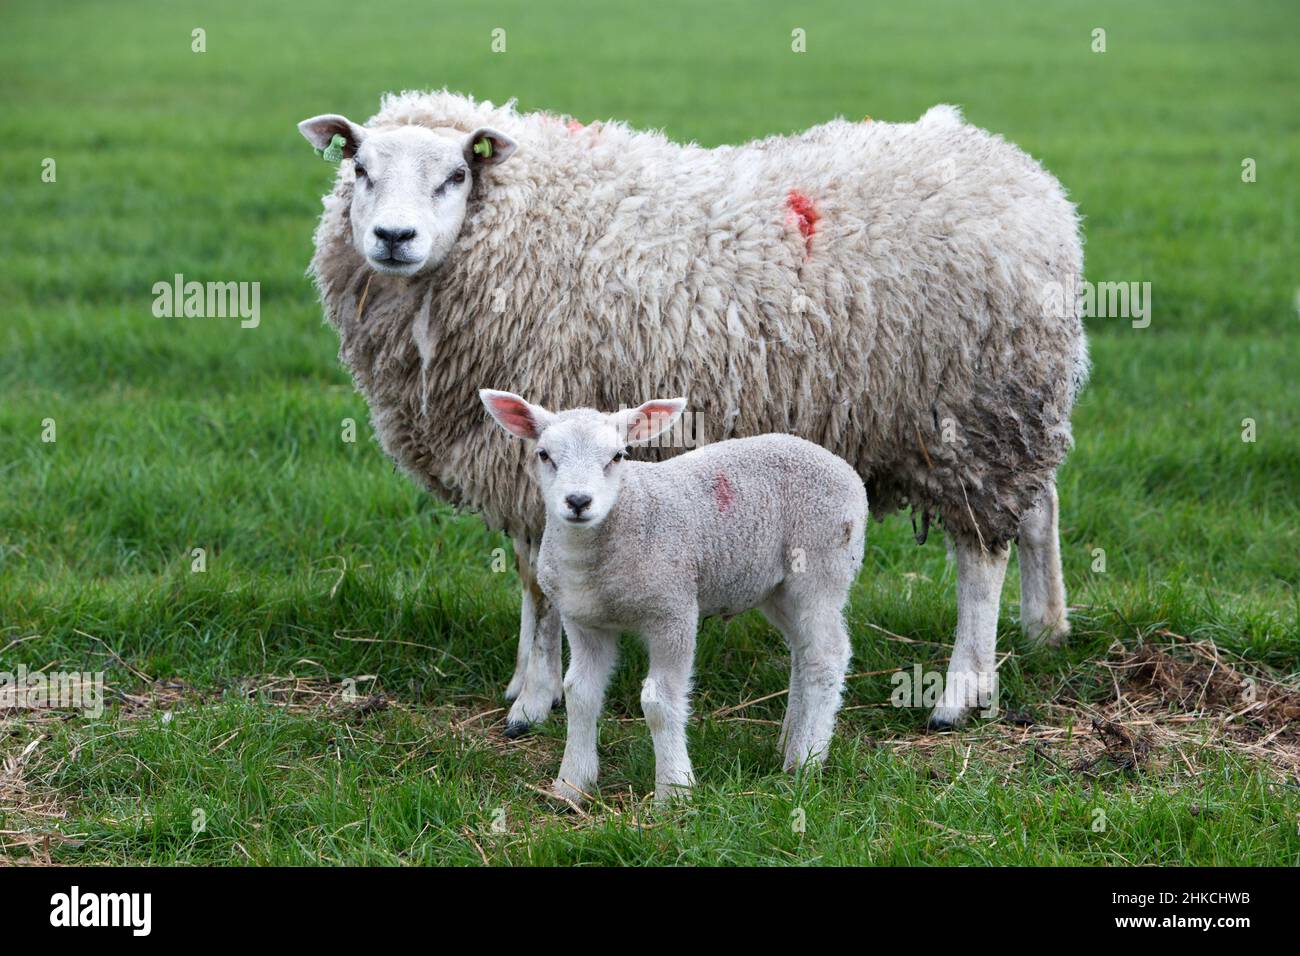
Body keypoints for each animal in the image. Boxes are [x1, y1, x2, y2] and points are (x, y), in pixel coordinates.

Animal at [301, 91, 1086, 733]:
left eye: (457, 174)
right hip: (1020, 405)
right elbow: (533, 577)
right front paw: (528, 684)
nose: (393, 238)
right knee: (1040, 507)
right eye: (360, 168)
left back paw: (963, 690)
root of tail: (1026, 177)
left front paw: (534, 700)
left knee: (980, 555)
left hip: (972, 412)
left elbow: (540, 589)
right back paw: (1044, 627)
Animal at [483, 390, 868, 801]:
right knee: (803, 651)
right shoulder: (584, 621)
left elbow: (659, 701)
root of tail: (837, 463)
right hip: (775, 588)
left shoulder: (673, 611)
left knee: (827, 656)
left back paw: (806, 760)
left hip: (821, 568)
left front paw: (674, 789)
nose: (578, 501)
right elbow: (580, 694)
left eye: (618, 456)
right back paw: (789, 742)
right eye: (544, 454)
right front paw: (572, 785)